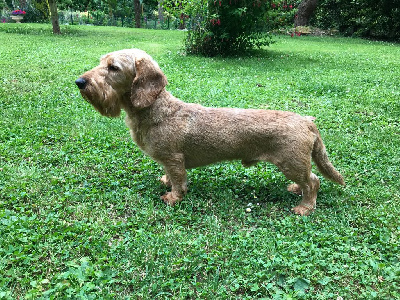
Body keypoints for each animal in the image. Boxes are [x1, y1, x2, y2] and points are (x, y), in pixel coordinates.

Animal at [76, 48, 346, 216]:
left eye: (113, 67)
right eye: (101, 62)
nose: (80, 82)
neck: (158, 110)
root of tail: (307, 121)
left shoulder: (174, 159)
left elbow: (179, 181)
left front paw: (173, 197)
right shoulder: (168, 160)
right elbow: (169, 175)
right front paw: (166, 182)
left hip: (290, 163)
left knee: (313, 181)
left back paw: (305, 207)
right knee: (308, 179)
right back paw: (296, 190)